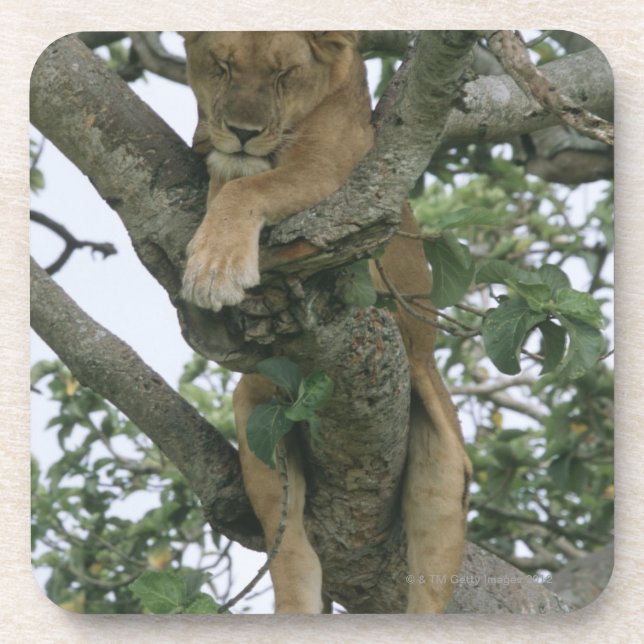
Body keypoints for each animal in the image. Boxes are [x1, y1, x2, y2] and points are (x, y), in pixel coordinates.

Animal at [180, 31, 472, 613]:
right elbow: (228, 176)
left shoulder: (341, 175)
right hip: (257, 406)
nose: (243, 133)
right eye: (222, 66)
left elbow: (249, 188)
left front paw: (214, 267)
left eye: (283, 75)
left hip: (444, 471)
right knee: (290, 547)